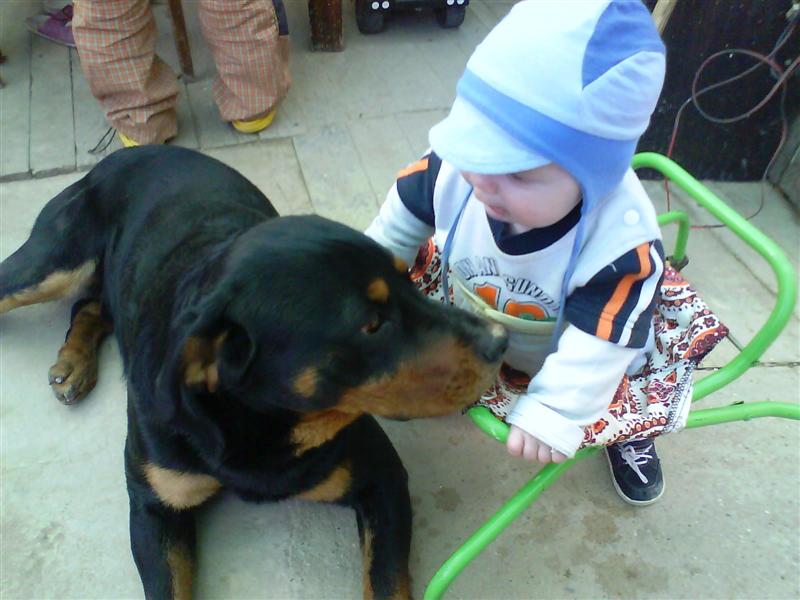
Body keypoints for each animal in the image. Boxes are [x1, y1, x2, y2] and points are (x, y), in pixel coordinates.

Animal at [0, 146, 507, 600]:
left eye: (409, 280)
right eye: (372, 324)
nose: (499, 341)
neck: (258, 425)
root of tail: (122, 154)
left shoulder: (382, 480)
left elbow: (386, 585)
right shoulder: (152, 506)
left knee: (92, 304)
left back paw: (74, 363)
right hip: (52, 263)